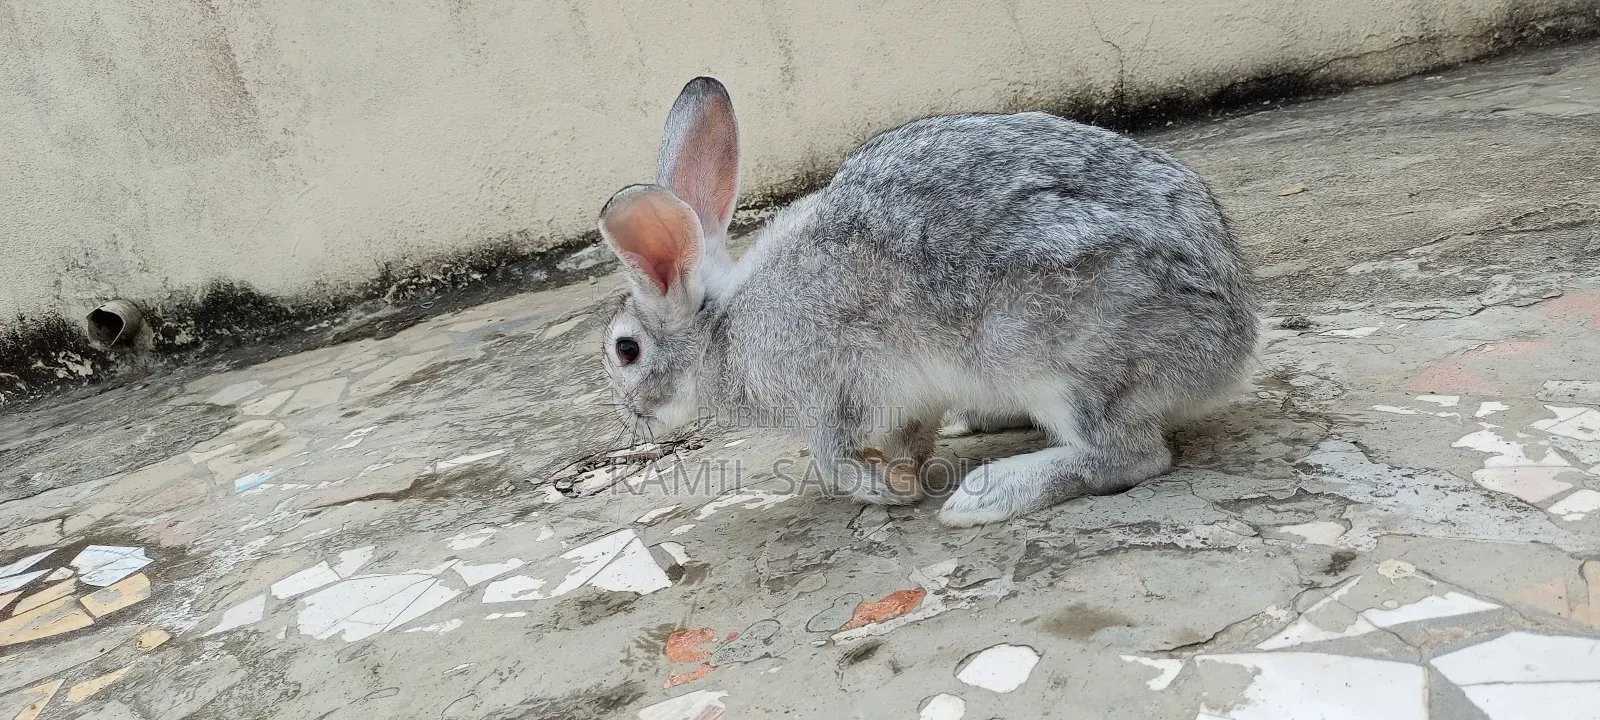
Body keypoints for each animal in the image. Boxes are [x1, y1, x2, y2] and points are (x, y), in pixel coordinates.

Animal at [595, 76, 1257, 527]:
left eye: (626, 350)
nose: (633, 419)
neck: (721, 330)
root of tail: (1233, 348)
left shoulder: (840, 389)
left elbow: (834, 454)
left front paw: (887, 489)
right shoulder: (907, 397)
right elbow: (910, 434)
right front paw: (905, 472)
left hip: (1067, 368)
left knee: (1129, 456)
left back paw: (985, 495)